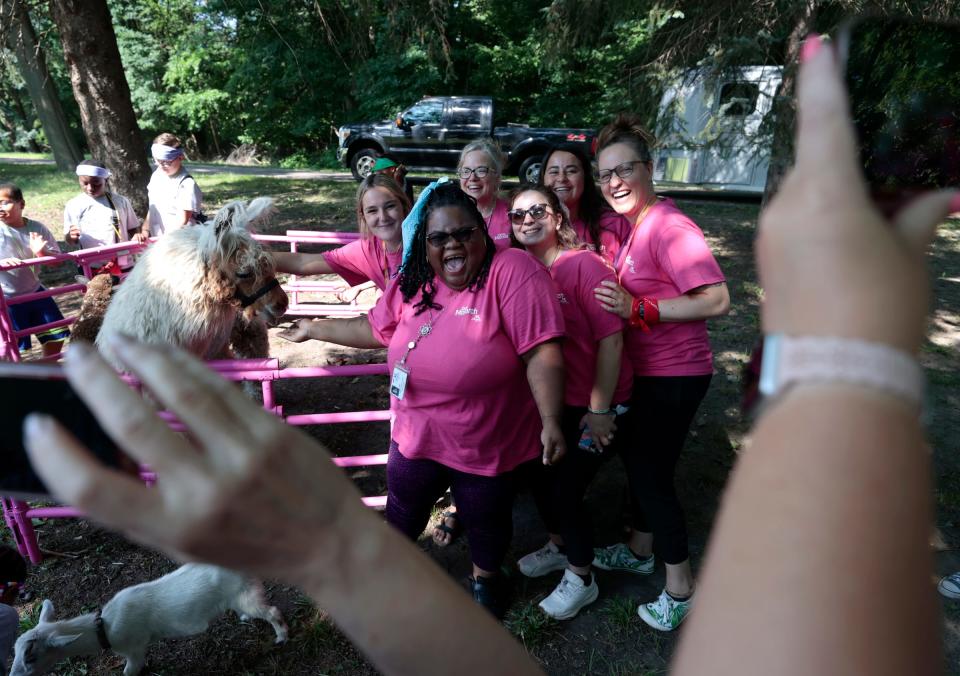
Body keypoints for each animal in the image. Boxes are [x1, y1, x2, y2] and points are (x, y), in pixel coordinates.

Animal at [10, 564, 284, 676]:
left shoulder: (132, 648)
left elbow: (129, 671)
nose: (13, 675)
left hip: (243, 593)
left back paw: (282, 637)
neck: (104, 627)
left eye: (31, 656)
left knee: (272, 612)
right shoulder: (140, 648)